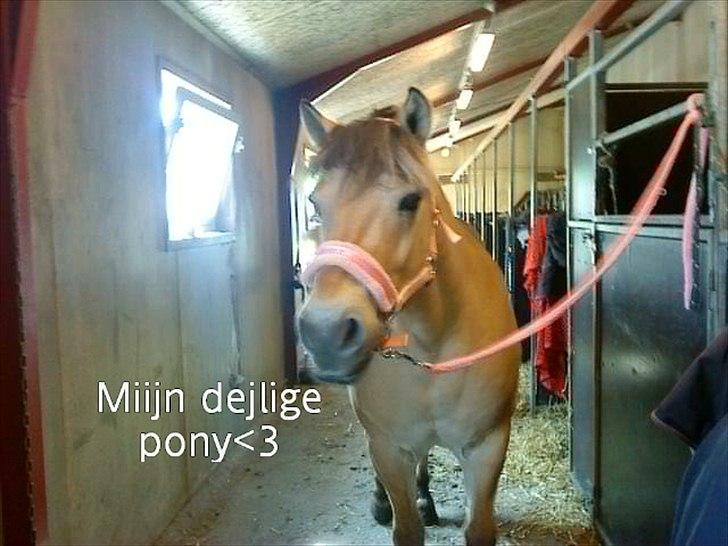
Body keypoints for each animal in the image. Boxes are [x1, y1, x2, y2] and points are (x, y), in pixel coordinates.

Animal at [297, 88, 520, 546]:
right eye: (315, 203)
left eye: (411, 200)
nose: (326, 331)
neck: (435, 340)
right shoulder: (389, 446)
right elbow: (406, 527)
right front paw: (393, 505)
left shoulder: (487, 446)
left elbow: (479, 527)